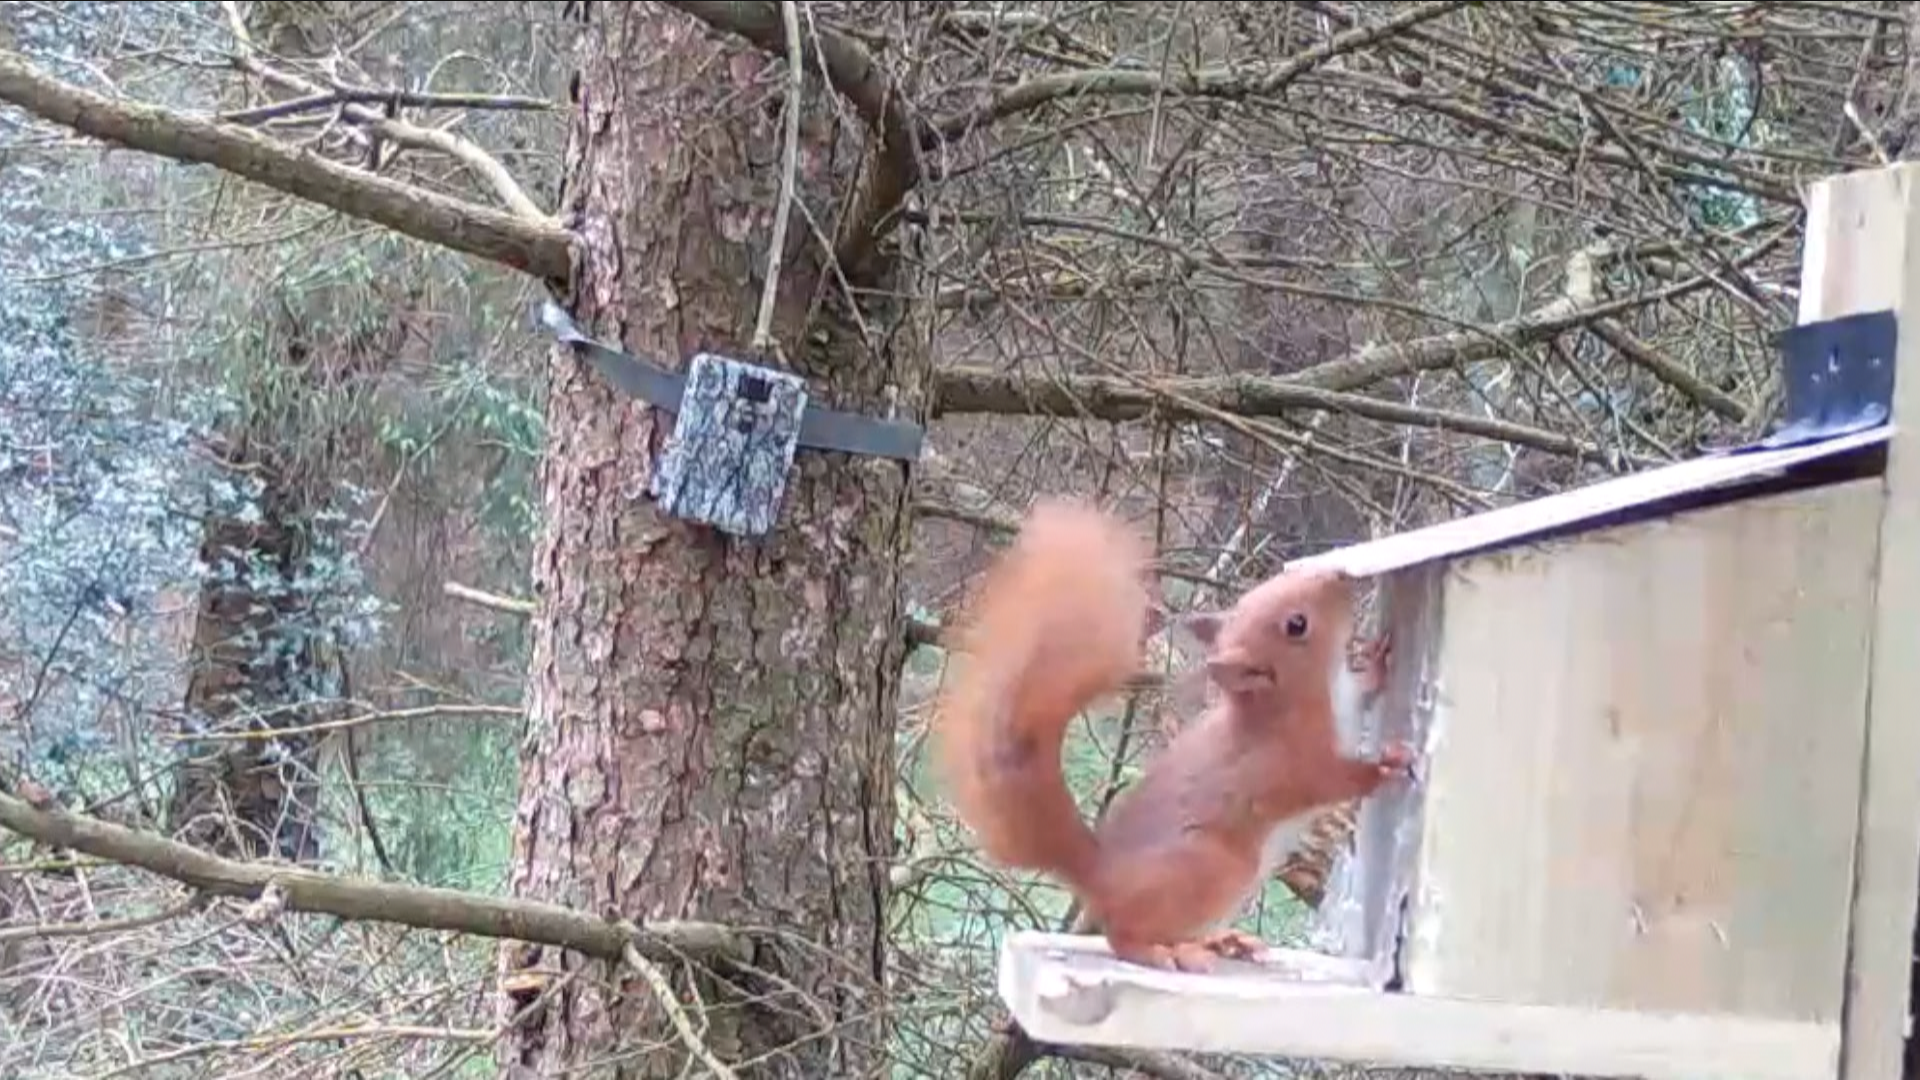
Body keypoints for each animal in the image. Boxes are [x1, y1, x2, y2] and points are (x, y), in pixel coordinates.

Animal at [933, 499, 1413, 972]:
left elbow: (1365, 692)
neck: (1305, 696)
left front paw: (1378, 663)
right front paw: (1384, 768)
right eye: (1297, 624)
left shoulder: (1347, 703)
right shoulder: (1289, 763)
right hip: (1213, 868)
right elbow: (1331, 781)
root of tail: (1101, 878)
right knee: (1122, 934)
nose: (1341, 578)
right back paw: (1158, 951)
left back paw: (1224, 940)